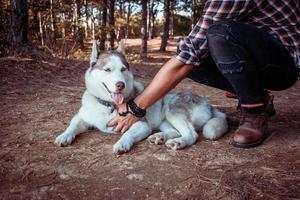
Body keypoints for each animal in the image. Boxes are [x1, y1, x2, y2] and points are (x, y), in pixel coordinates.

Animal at [54, 40, 227, 153]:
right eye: (107, 70)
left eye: (123, 69)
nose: (120, 85)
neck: (109, 105)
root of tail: (210, 105)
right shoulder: (81, 118)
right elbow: (72, 125)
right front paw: (64, 136)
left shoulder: (142, 125)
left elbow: (127, 134)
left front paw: (122, 144)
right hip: (163, 121)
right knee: (175, 131)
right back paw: (159, 137)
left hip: (172, 109)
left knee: (191, 134)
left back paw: (177, 143)